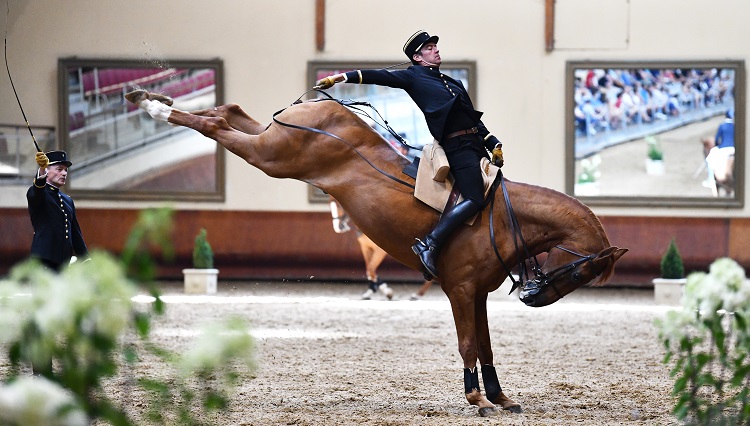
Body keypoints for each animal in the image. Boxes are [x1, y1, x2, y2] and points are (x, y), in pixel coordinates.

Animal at [128, 89, 628, 416]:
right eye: (581, 272)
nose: (532, 297)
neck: (503, 216)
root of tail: (324, 104)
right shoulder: (461, 290)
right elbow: (469, 343)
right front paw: (476, 399)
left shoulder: (478, 295)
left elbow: (485, 345)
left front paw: (500, 397)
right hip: (274, 158)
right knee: (217, 126)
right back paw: (155, 107)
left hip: (273, 143)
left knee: (230, 113)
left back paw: (150, 98)